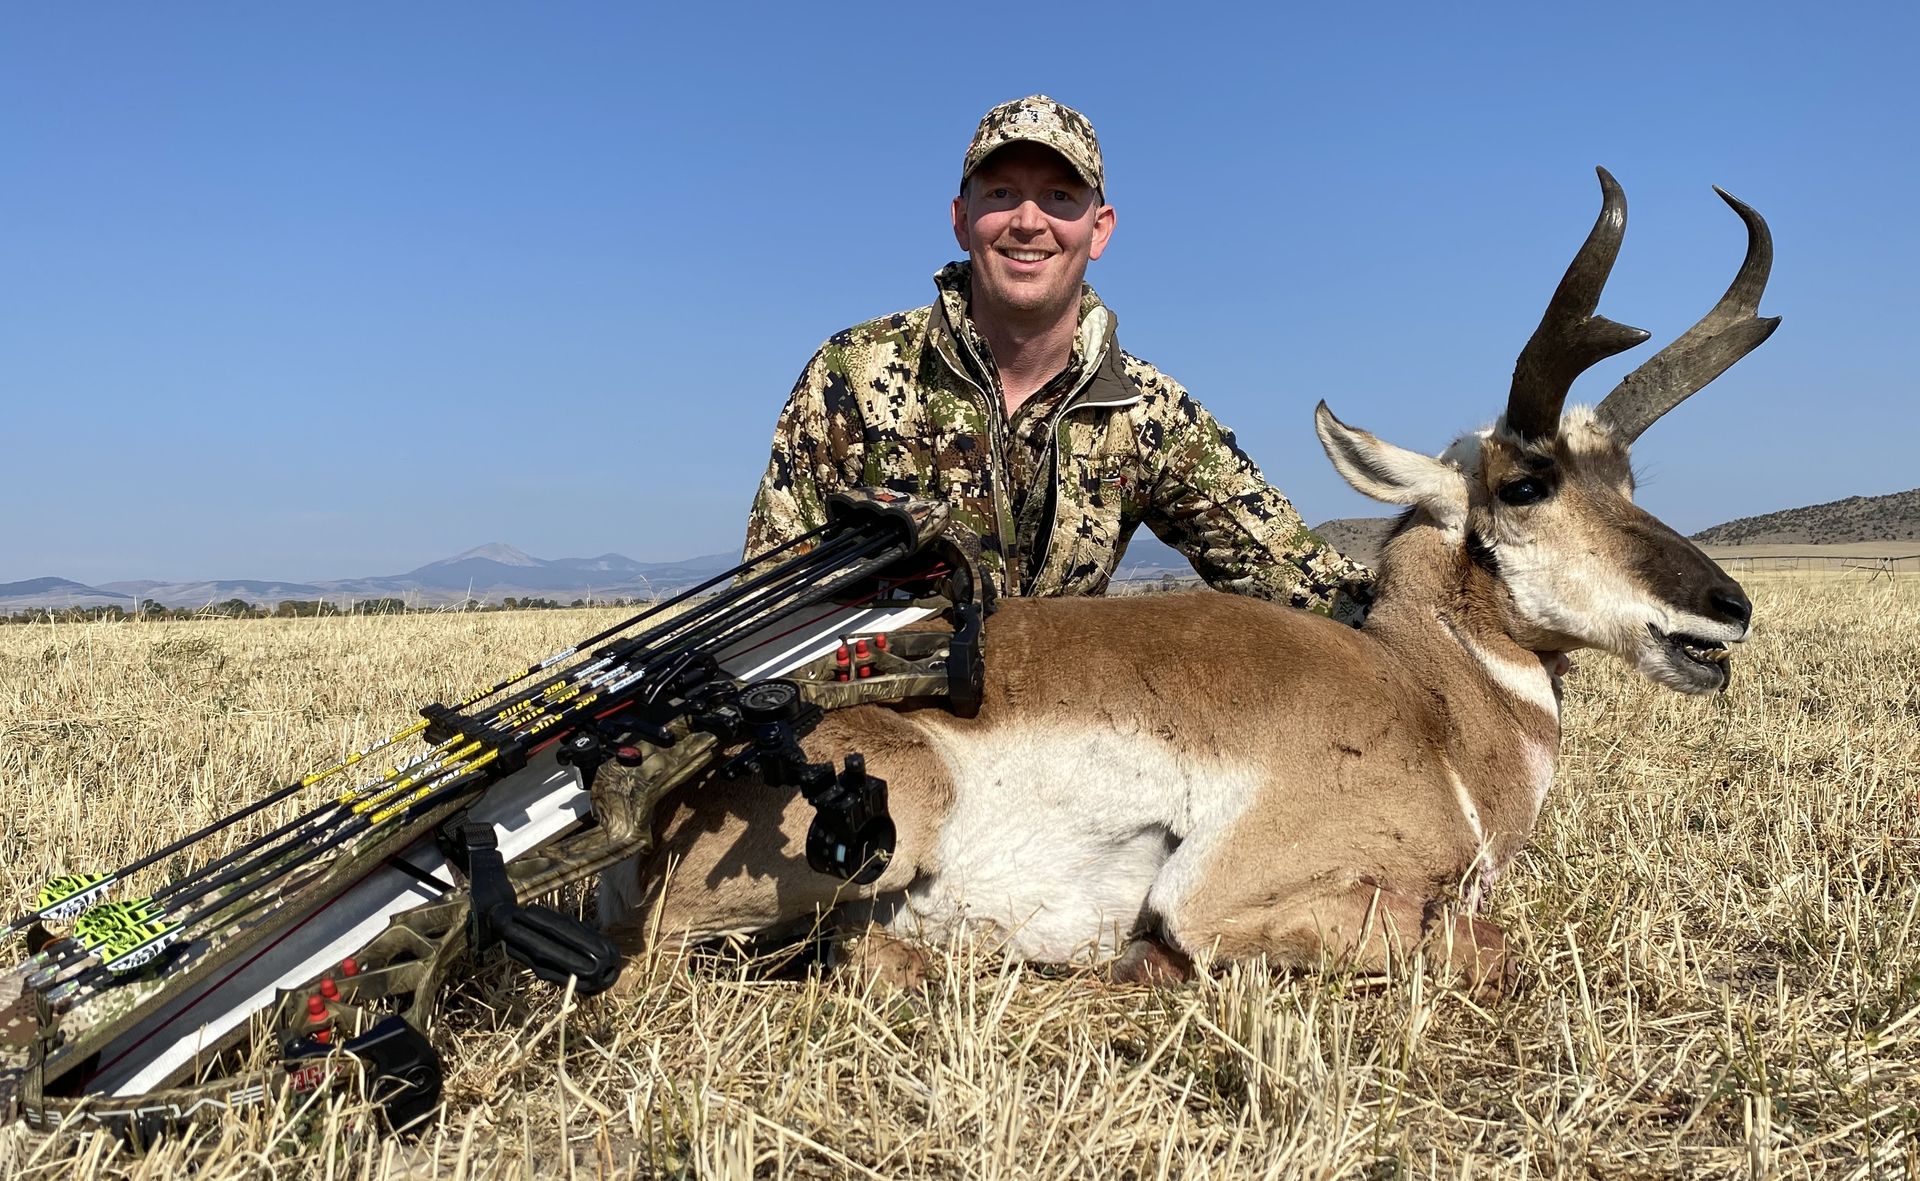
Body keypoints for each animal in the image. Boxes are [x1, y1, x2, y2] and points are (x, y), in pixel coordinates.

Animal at [601, 168, 1777, 991]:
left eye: (1625, 478)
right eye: (1528, 482)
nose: (1728, 608)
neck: (1426, 699)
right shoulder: (1233, 896)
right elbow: (1476, 939)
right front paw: (1151, 959)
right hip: (895, 811)